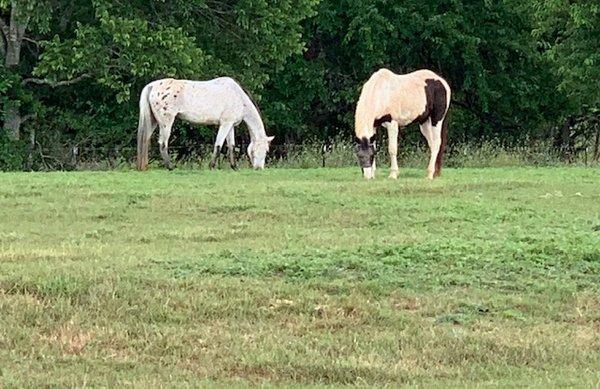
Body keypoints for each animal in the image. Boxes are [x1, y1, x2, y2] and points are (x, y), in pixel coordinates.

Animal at [137, 76, 274, 171]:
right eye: (264, 150)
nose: (259, 168)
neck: (238, 97)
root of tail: (152, 86)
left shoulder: (230, 126)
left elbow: (231, 146)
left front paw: (234, 167)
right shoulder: (225, 124)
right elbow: (218, 145)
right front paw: (212, 166)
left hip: (153, 122)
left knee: (145, 140)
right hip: (166, 123)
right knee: (163, 144)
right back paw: (170, 167)